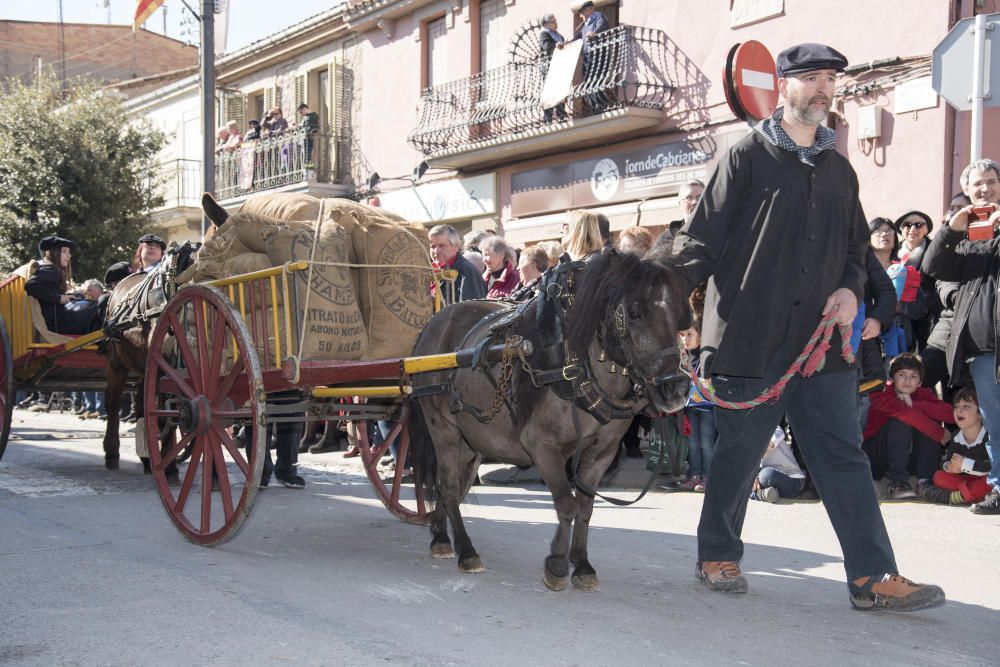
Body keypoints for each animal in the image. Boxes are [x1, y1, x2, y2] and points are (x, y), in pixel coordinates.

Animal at [410, 249, 692, 588]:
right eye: (635, 312)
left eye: (680, 314)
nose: (677, 388)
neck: (573, 361)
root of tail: (434, 323)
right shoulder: (543, 447)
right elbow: (566, 505)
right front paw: (557, 563)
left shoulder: (601, 453)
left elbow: (585, 508)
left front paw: (582, 564)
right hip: (443, 429)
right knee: (450, 486)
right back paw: (466, 550)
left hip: (472, 440)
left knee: (451, 486)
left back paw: (441, 535)